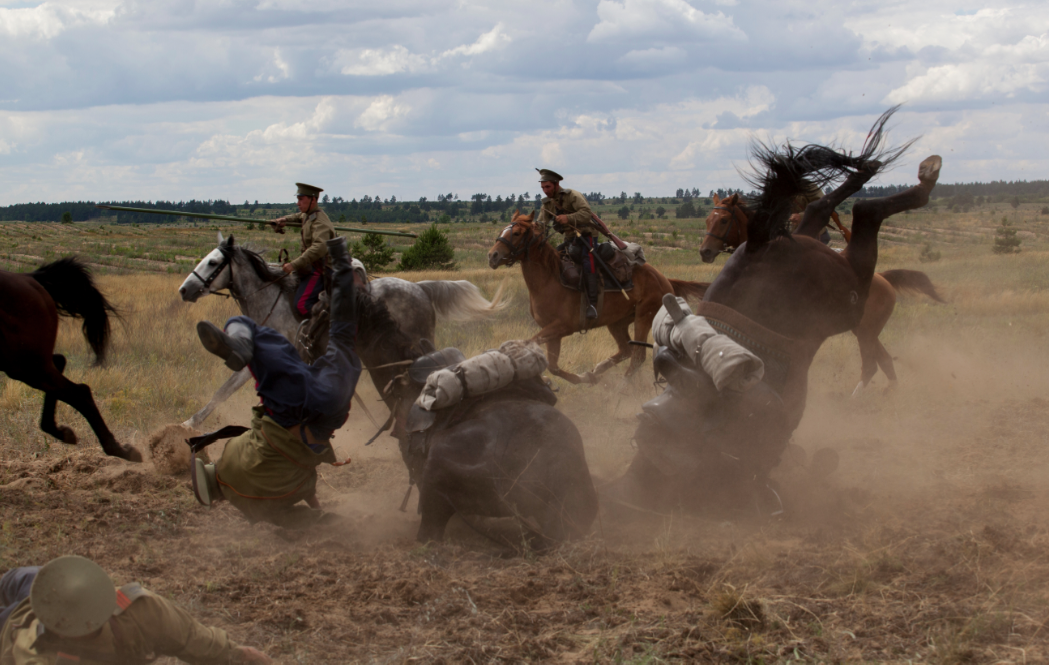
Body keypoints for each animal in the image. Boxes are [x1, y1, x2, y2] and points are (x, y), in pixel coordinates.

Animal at [0, 258, 140, 461]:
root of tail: (29, 278)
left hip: (25, 364)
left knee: (79, 392)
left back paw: (121, 450)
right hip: (26, 361)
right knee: (60, 364)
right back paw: (62, 432)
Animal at [484, 211, 704, 383]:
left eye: (517, 233)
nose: (492, 256)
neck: (550, 279)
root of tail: (663, 279)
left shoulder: (561, 327)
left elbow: (529, 345)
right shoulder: (553, 332)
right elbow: (553, 366)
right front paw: (582, 378)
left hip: (643, 318)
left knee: (638, 356)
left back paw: (622, 386)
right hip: (617, 322)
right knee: (625, 350)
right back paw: (596, 371)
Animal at [696, 189, 944, 394]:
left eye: (724, 220)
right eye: (708, 220)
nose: (705, 252)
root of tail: (885, 279)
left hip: (865, 331)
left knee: (871, 364)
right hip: (865, 331)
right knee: (884, 360)